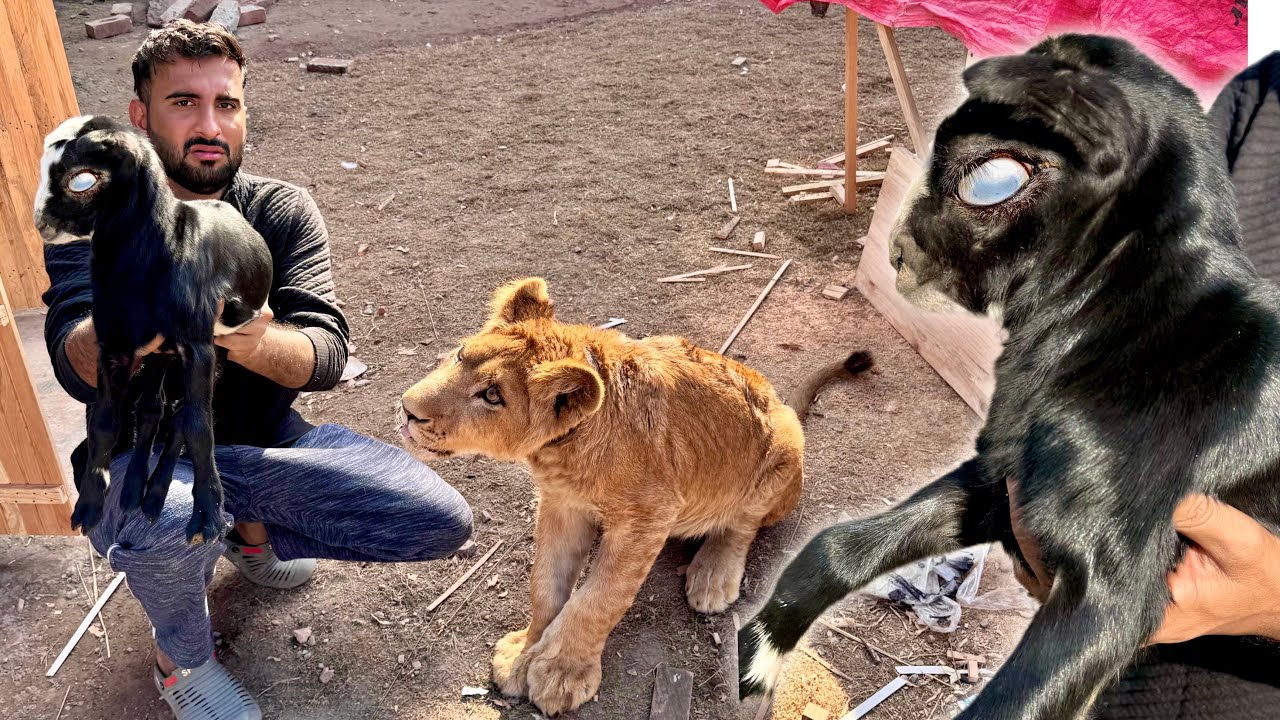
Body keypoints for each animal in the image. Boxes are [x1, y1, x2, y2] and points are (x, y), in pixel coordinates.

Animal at [34, 115, 272, 544]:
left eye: (81, 180)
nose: (40, 224)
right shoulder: (113, 345)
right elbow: (104, 422)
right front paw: (89, 506)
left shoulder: (199, 345)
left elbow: (198, 425)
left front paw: (207, 516)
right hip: (159, 354)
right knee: (152, 408)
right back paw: (134, 492)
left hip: (213, 351)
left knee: (182, 415)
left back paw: (155, 494)